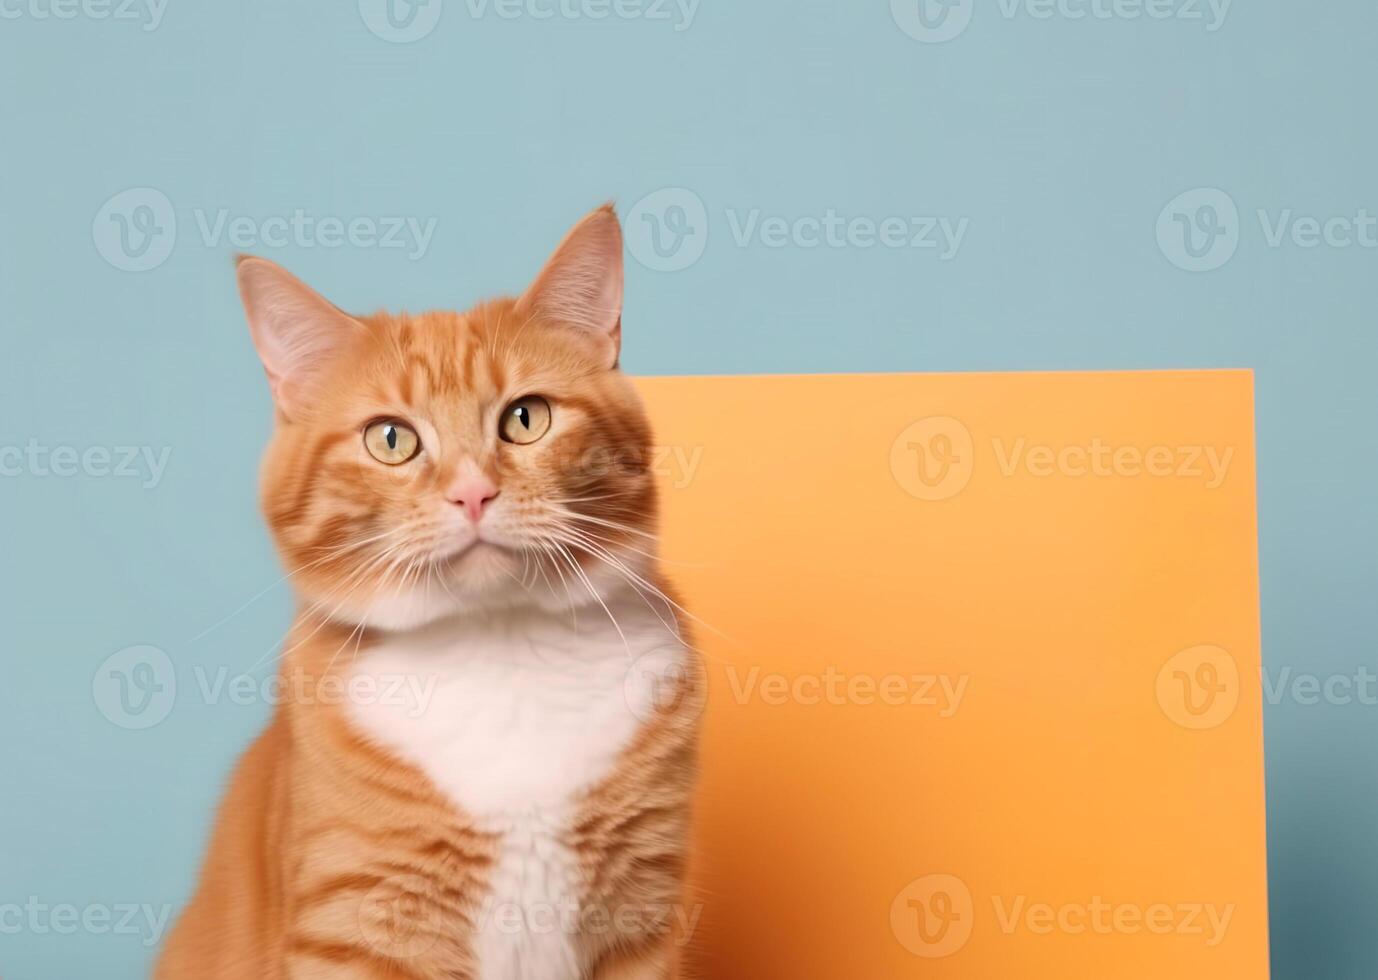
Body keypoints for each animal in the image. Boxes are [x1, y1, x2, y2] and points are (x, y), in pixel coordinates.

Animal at [156, 206, 705, 980]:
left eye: (526, 418)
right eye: (391, 439)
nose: (472, 493)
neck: (498, 648)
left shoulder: (641, 917)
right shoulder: (356, 923)